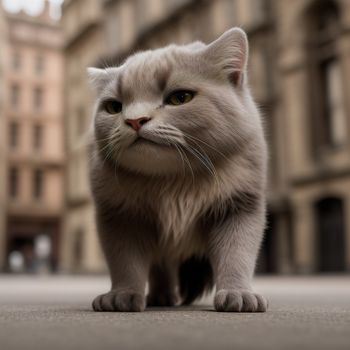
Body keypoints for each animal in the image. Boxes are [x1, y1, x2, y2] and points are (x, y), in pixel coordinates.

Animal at [87, 27, 268, 312]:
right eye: (114, 107)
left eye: (180, 98)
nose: (135, 121)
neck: (174, 181)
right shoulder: (120, 217)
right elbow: (125, 263)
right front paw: (121, 295)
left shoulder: (239, 208)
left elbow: (237, 255)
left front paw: (238, 294)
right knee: (161, 266)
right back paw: (161, 296)